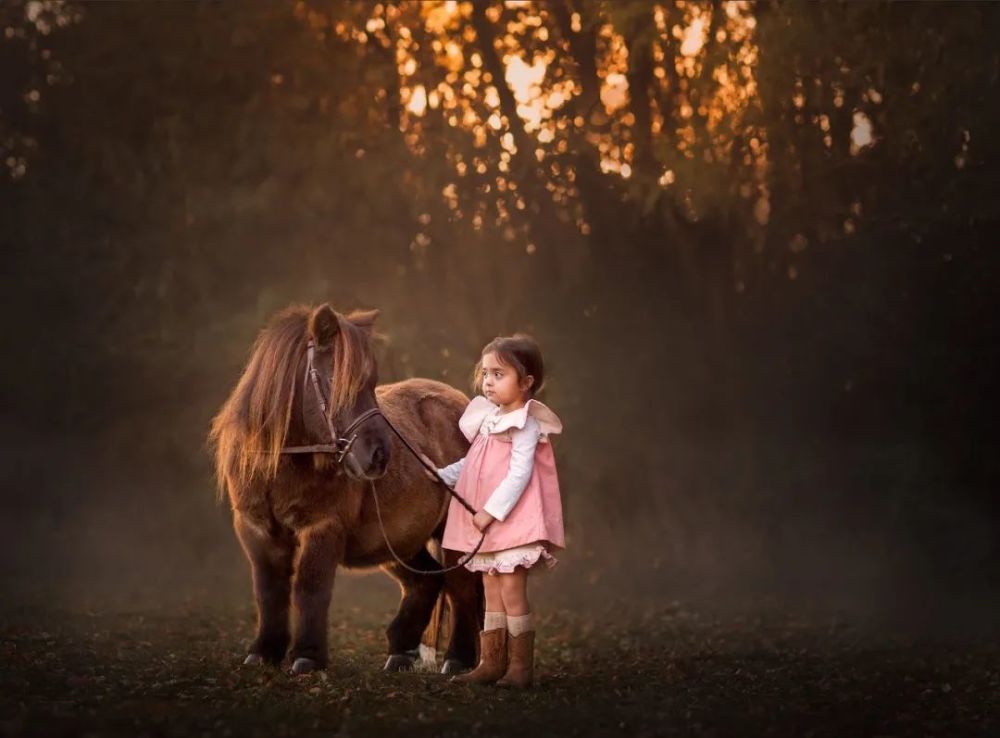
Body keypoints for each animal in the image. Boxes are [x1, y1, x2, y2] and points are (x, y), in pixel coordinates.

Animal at [209, 300, 482, 672]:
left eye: (372, 383)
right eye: (336, 380)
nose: (380, 456)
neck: (283, 462)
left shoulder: (323, 528)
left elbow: (310, 588)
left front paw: (307, 656)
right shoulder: (256, 530)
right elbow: (268, 590)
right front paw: (264, 652)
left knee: (462, 587)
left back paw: (458, 659)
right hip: (398, 542)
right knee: (426, 582)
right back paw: (400, 651)